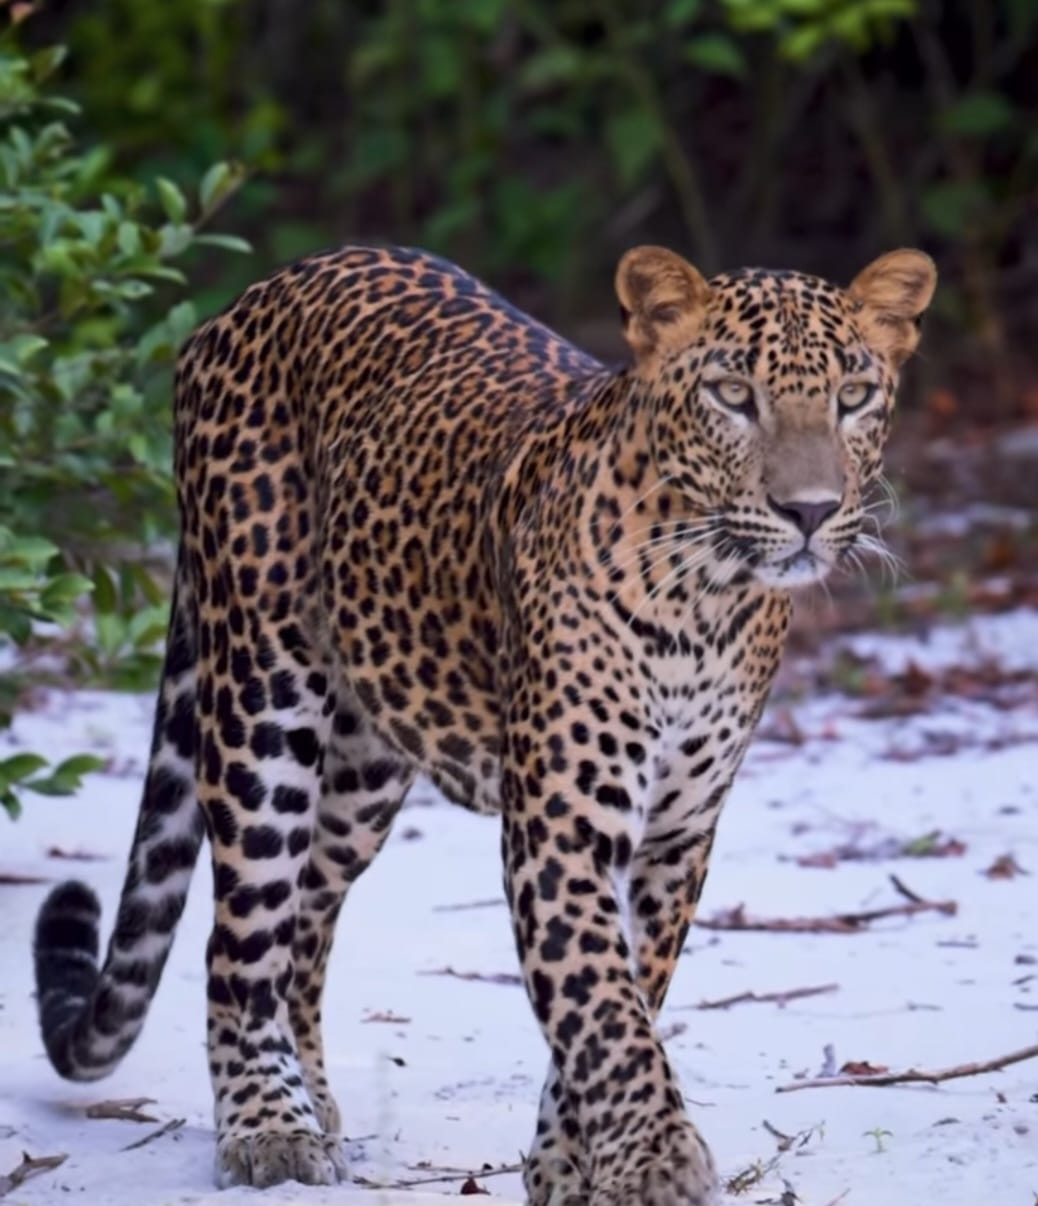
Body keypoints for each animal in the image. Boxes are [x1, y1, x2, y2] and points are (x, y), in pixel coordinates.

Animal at [32, 241, 935, 1204]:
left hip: (366, 760)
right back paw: (269, 1127)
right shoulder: (563, 822)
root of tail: (262, 290)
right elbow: (601, 1003)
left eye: (854, 395)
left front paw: (570, 1161)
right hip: (262, 693)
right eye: (733, 394)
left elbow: (622, 993)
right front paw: (655, 1160)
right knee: (239, 937)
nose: (809, 510)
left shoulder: (677, 835)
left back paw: (313, 1100)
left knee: (305, 925)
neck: (707, 606)